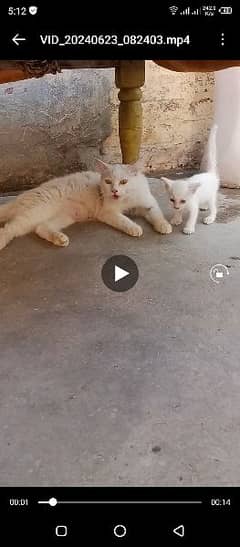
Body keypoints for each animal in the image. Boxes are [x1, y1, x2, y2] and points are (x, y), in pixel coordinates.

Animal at [0, 159, 172, 252]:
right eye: (108, 181)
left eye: (124, 181)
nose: (114, 191)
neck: (127, 199)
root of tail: (20, 197)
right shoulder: (108, 213)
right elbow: (124, 220)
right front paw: (134, 228)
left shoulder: (148, 203)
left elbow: (156, 214)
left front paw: (164, 226)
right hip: (35, 213)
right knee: (9, 228)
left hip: (65, 217)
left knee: (41, 228)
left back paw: (60, 239)